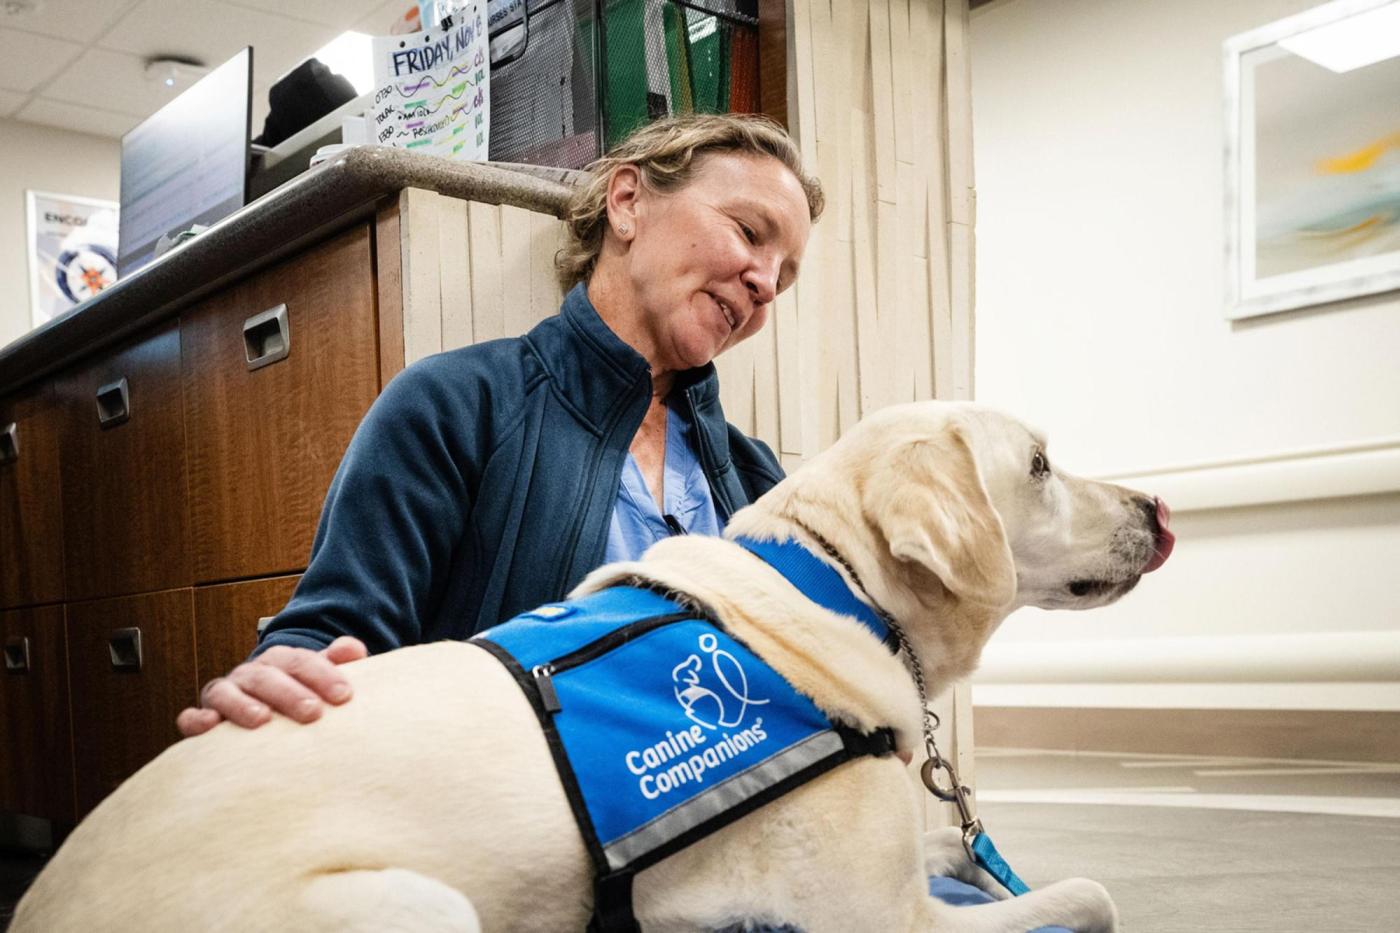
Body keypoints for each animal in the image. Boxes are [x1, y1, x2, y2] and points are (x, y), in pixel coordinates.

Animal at [10, 400, 1170, 930]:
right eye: (1040, 464)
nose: (1162, 509)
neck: (833, 583)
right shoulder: (876, 922)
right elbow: (1089, 890)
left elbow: (957, 841)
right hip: (415, 905)